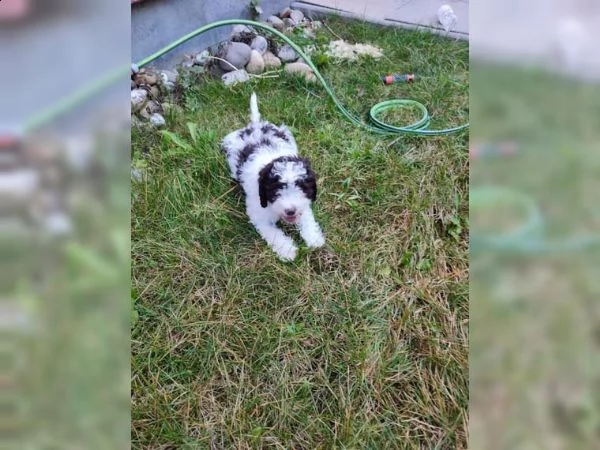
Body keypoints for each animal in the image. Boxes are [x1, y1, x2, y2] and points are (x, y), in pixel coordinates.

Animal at [220, 92, 324, 260]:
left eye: (302, 187)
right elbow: (272, 232)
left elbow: (306, 216)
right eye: (276, 189)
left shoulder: (303, 202)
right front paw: (288, 250)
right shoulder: (258, 212)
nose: (290, 211)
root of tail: (255, 125)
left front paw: (314, 238)